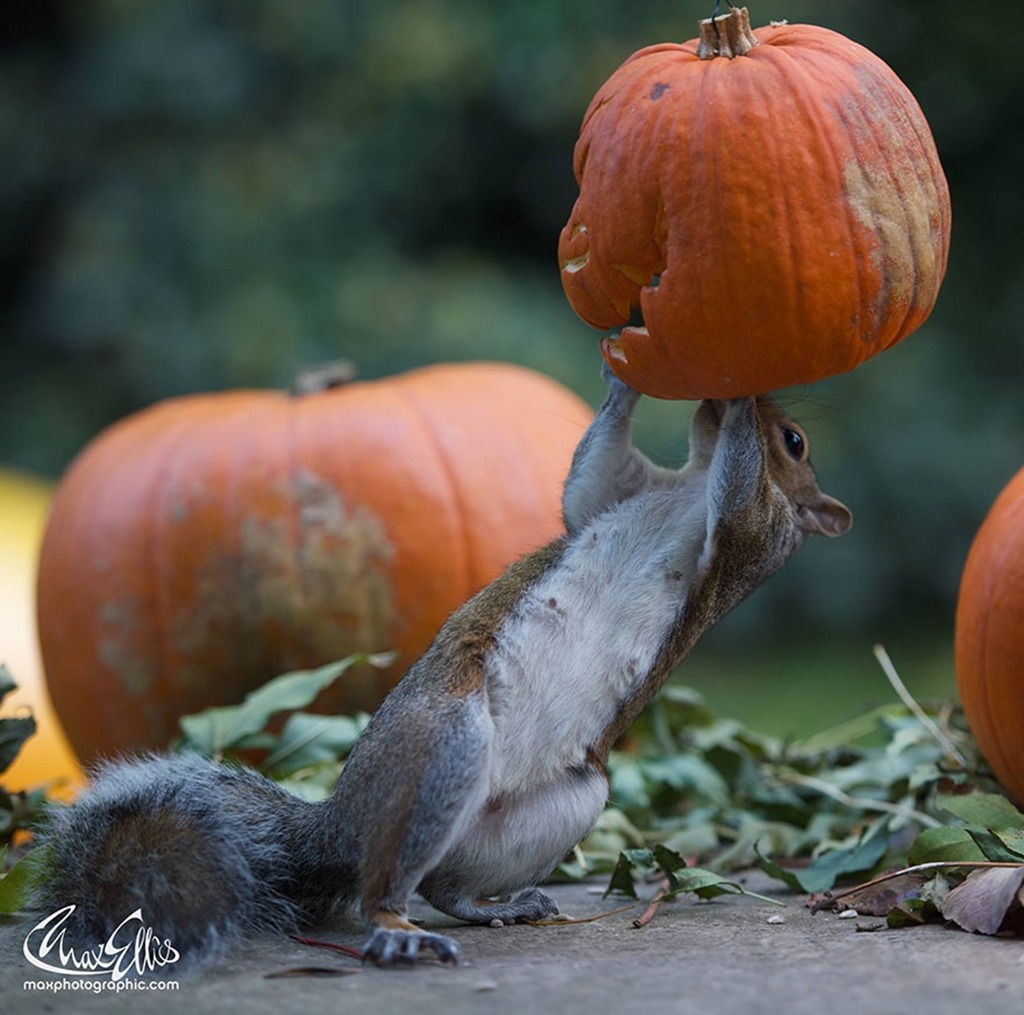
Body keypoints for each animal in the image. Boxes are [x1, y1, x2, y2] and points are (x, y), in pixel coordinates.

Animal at [34, 366, 851, 968]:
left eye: (794, 440)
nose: (718, 402)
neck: (689, 484)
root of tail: (338, 827)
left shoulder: (750, 534)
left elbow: (740, 496)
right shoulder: (612, 494)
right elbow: (591, 472)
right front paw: (625, 362)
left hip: (476, 758)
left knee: (411, 888)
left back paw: (427, 922)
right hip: (460, 754)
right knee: (433, 881)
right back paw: (490, 907)